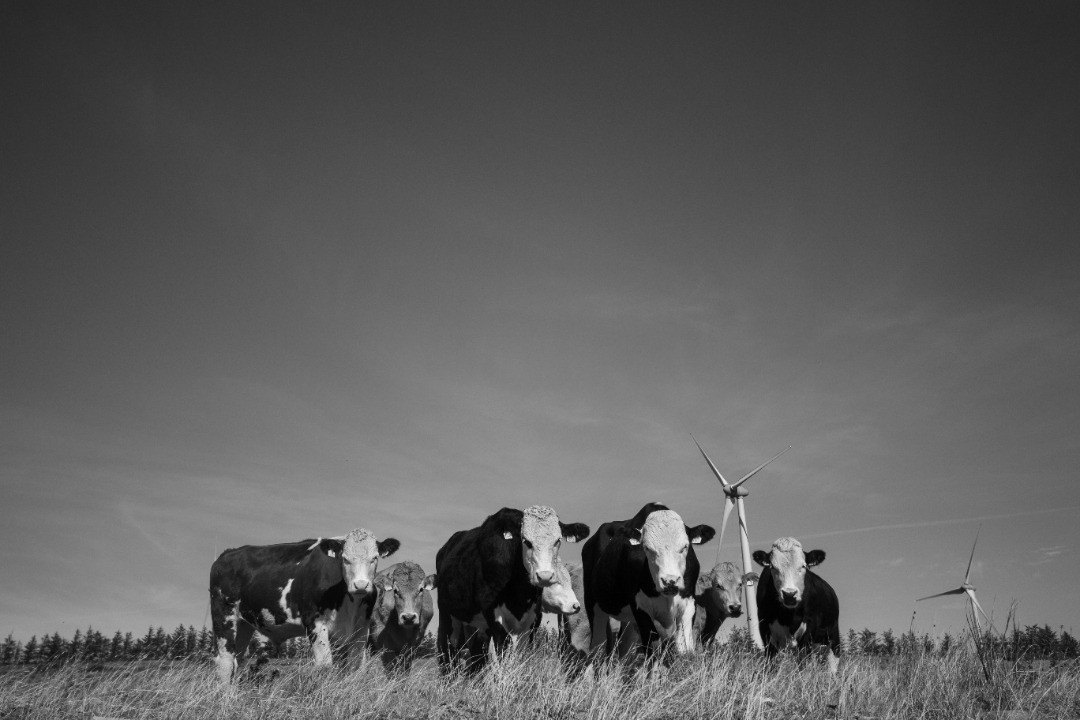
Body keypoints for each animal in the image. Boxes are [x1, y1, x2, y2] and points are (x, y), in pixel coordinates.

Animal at [209, 528, 400, 682]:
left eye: (374, 558)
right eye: (345, 559)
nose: (360, 585)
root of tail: (228, 553)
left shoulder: (361, 628)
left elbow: (355, 666)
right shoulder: (315, 622)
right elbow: (324, 664)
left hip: (244, 623)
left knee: (236, 659)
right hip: (223, 615)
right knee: (225, 661)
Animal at [435, 505, 590, 673]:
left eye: (557, 541)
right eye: (526, 541)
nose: (545, 576)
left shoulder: (532, 623)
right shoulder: (496, 622)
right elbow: (501, 660)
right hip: (447, 615)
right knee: (447, 651)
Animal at [582, 502, 715, 667]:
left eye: (685, 547)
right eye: (647, 548)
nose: (670, 581)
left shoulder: (689, 604)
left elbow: (685, 652)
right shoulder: (640, 608)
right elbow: (652, 652)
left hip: (628, 621)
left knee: (623, 650)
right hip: (593, 604)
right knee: (596, 650)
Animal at [753, 536, 841, 673]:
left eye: (803, 566)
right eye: (772, 566)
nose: (789, 594)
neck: (788, 617)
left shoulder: (808, 631)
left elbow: (803, 664)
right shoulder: (765, 629)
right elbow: (770, 664)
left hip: (833, 638)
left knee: (832, 666)